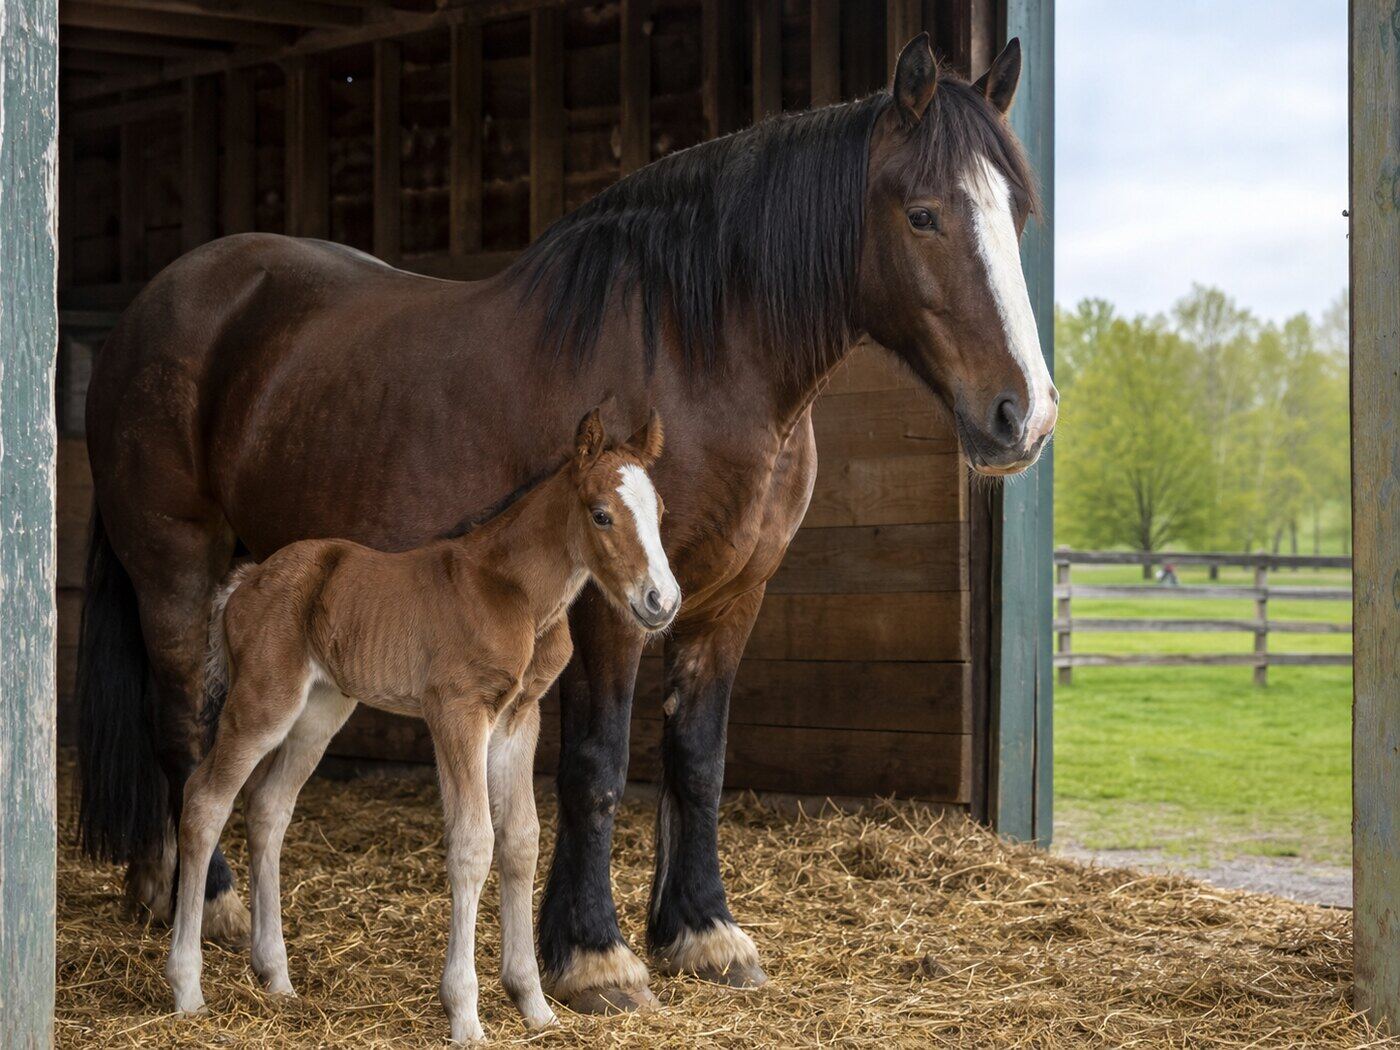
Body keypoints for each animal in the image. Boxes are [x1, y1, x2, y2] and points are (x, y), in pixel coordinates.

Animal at [167, 409, 674, 1041]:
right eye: (602, 514)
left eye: (661, 513)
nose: (662, 602)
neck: (517, 594)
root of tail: (246, 582)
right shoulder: (458, 713)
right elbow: (473, 842)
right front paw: (465, 1016)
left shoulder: (519, 718)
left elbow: (522, 840)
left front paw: (534, 1006)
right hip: (263, 702)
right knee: (206, 801)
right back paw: (187, 989)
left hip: (320, 712)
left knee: (268, 807)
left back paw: (277, 979)